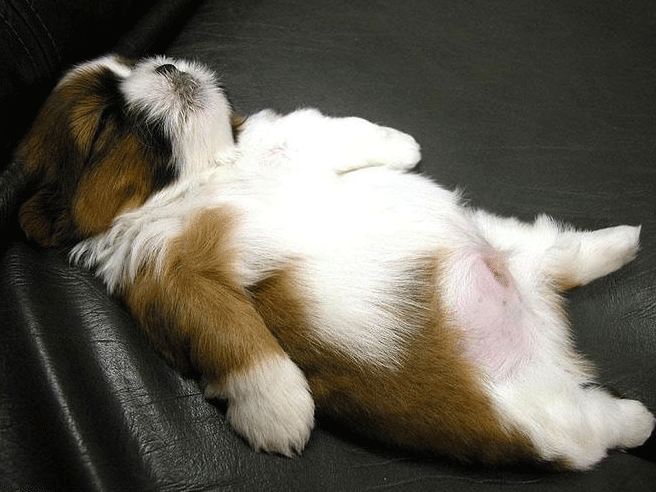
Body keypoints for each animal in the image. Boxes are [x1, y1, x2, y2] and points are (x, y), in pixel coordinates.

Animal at [1, 54, 653, 470]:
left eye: (135, 63)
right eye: (105, 122)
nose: (168, 68)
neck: (207, 176)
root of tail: (536, 311)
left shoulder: (282, 141)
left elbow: (328, 132)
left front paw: (399, 146)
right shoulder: (171, 275)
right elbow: (232, 333)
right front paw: (280, 414)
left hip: (512, 242)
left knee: (560, 251)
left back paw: (620, 241)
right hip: (534, 419)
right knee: (596, 428)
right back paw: (639, 417)